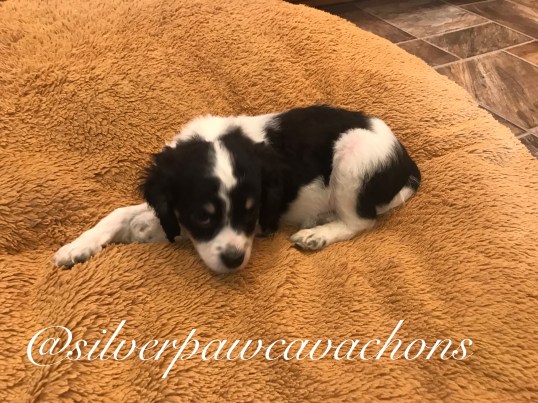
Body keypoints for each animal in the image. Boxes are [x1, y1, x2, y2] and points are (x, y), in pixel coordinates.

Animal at [54, 105, 421, 273]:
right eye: (203, 216)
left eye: (251, 211)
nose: (233, 261)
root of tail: (407, 163)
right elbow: (120, 212)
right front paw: (77, 247)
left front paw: (143, 228)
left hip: (354, 157)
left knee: (360, 222)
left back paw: (317, 234)